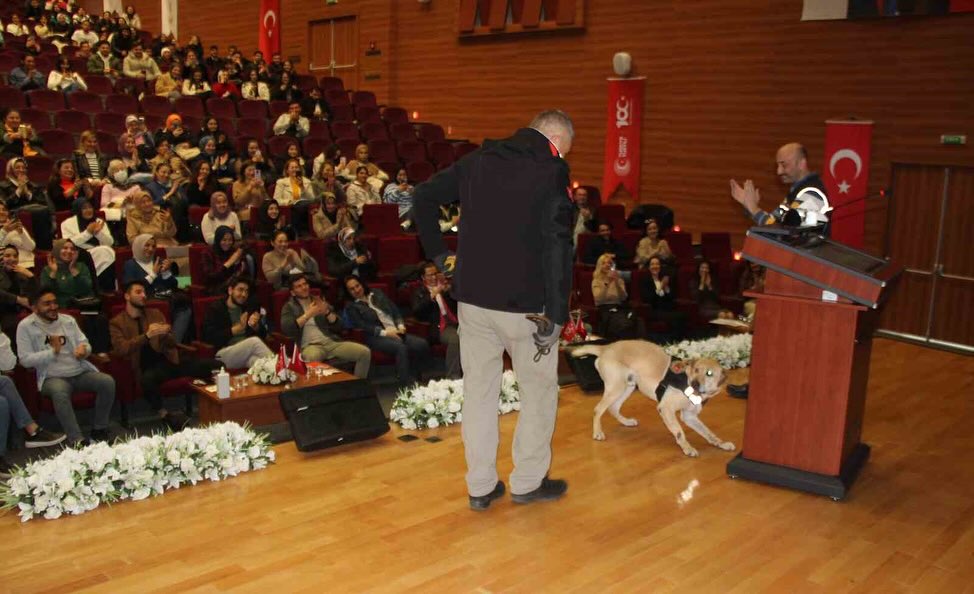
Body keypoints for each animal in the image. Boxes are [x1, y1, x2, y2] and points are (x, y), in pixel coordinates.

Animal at [572, 338, 732, 458]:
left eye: (709, 373)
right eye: (696, 370)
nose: (695, 383)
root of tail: (606, 348)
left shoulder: (690, 416)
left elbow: (708, 433)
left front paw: (721, 443)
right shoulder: (666, 408)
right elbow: (679, 432)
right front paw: (687, 448)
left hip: (627, 386)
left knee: (613, 408)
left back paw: (626, 422)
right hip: (616, 387)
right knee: (598, 409)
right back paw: (597, 433)